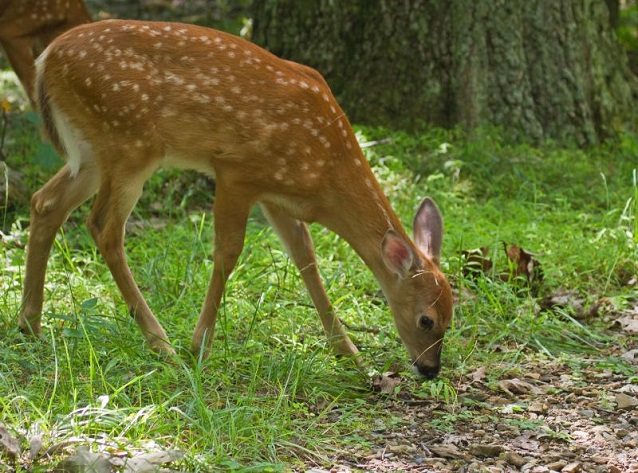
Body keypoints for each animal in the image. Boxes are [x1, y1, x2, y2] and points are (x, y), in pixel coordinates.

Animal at [16, 20, 456, 378]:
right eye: (427, 321)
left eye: (452, 316)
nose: (430, 369)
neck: (325, 172)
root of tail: (45, 60)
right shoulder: (236, 171)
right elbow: (228, 252)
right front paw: (200, 346)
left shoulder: (277, 196)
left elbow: (306, 258)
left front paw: (350, 354)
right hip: (129, 144)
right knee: (103, 227)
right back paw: (161, 344)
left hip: (93, 152)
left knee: (45, 202)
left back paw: (29, 324)